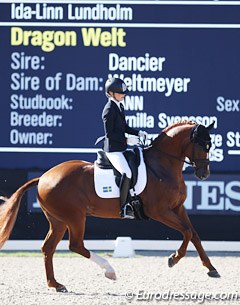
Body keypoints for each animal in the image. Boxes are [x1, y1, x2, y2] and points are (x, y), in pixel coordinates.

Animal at [0, 120, 219, 290]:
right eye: (203, 146)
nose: (204, 174)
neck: (162, 166)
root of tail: (43, 177)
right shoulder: (160, 211)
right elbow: (187, 232)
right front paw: (174, 258)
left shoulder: (177, 208)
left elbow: (194, 234)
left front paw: (211, 268)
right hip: (75, 217)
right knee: (75, 245)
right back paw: (109, 270)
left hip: (58, 220)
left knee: (48, 248)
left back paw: (55, 284)